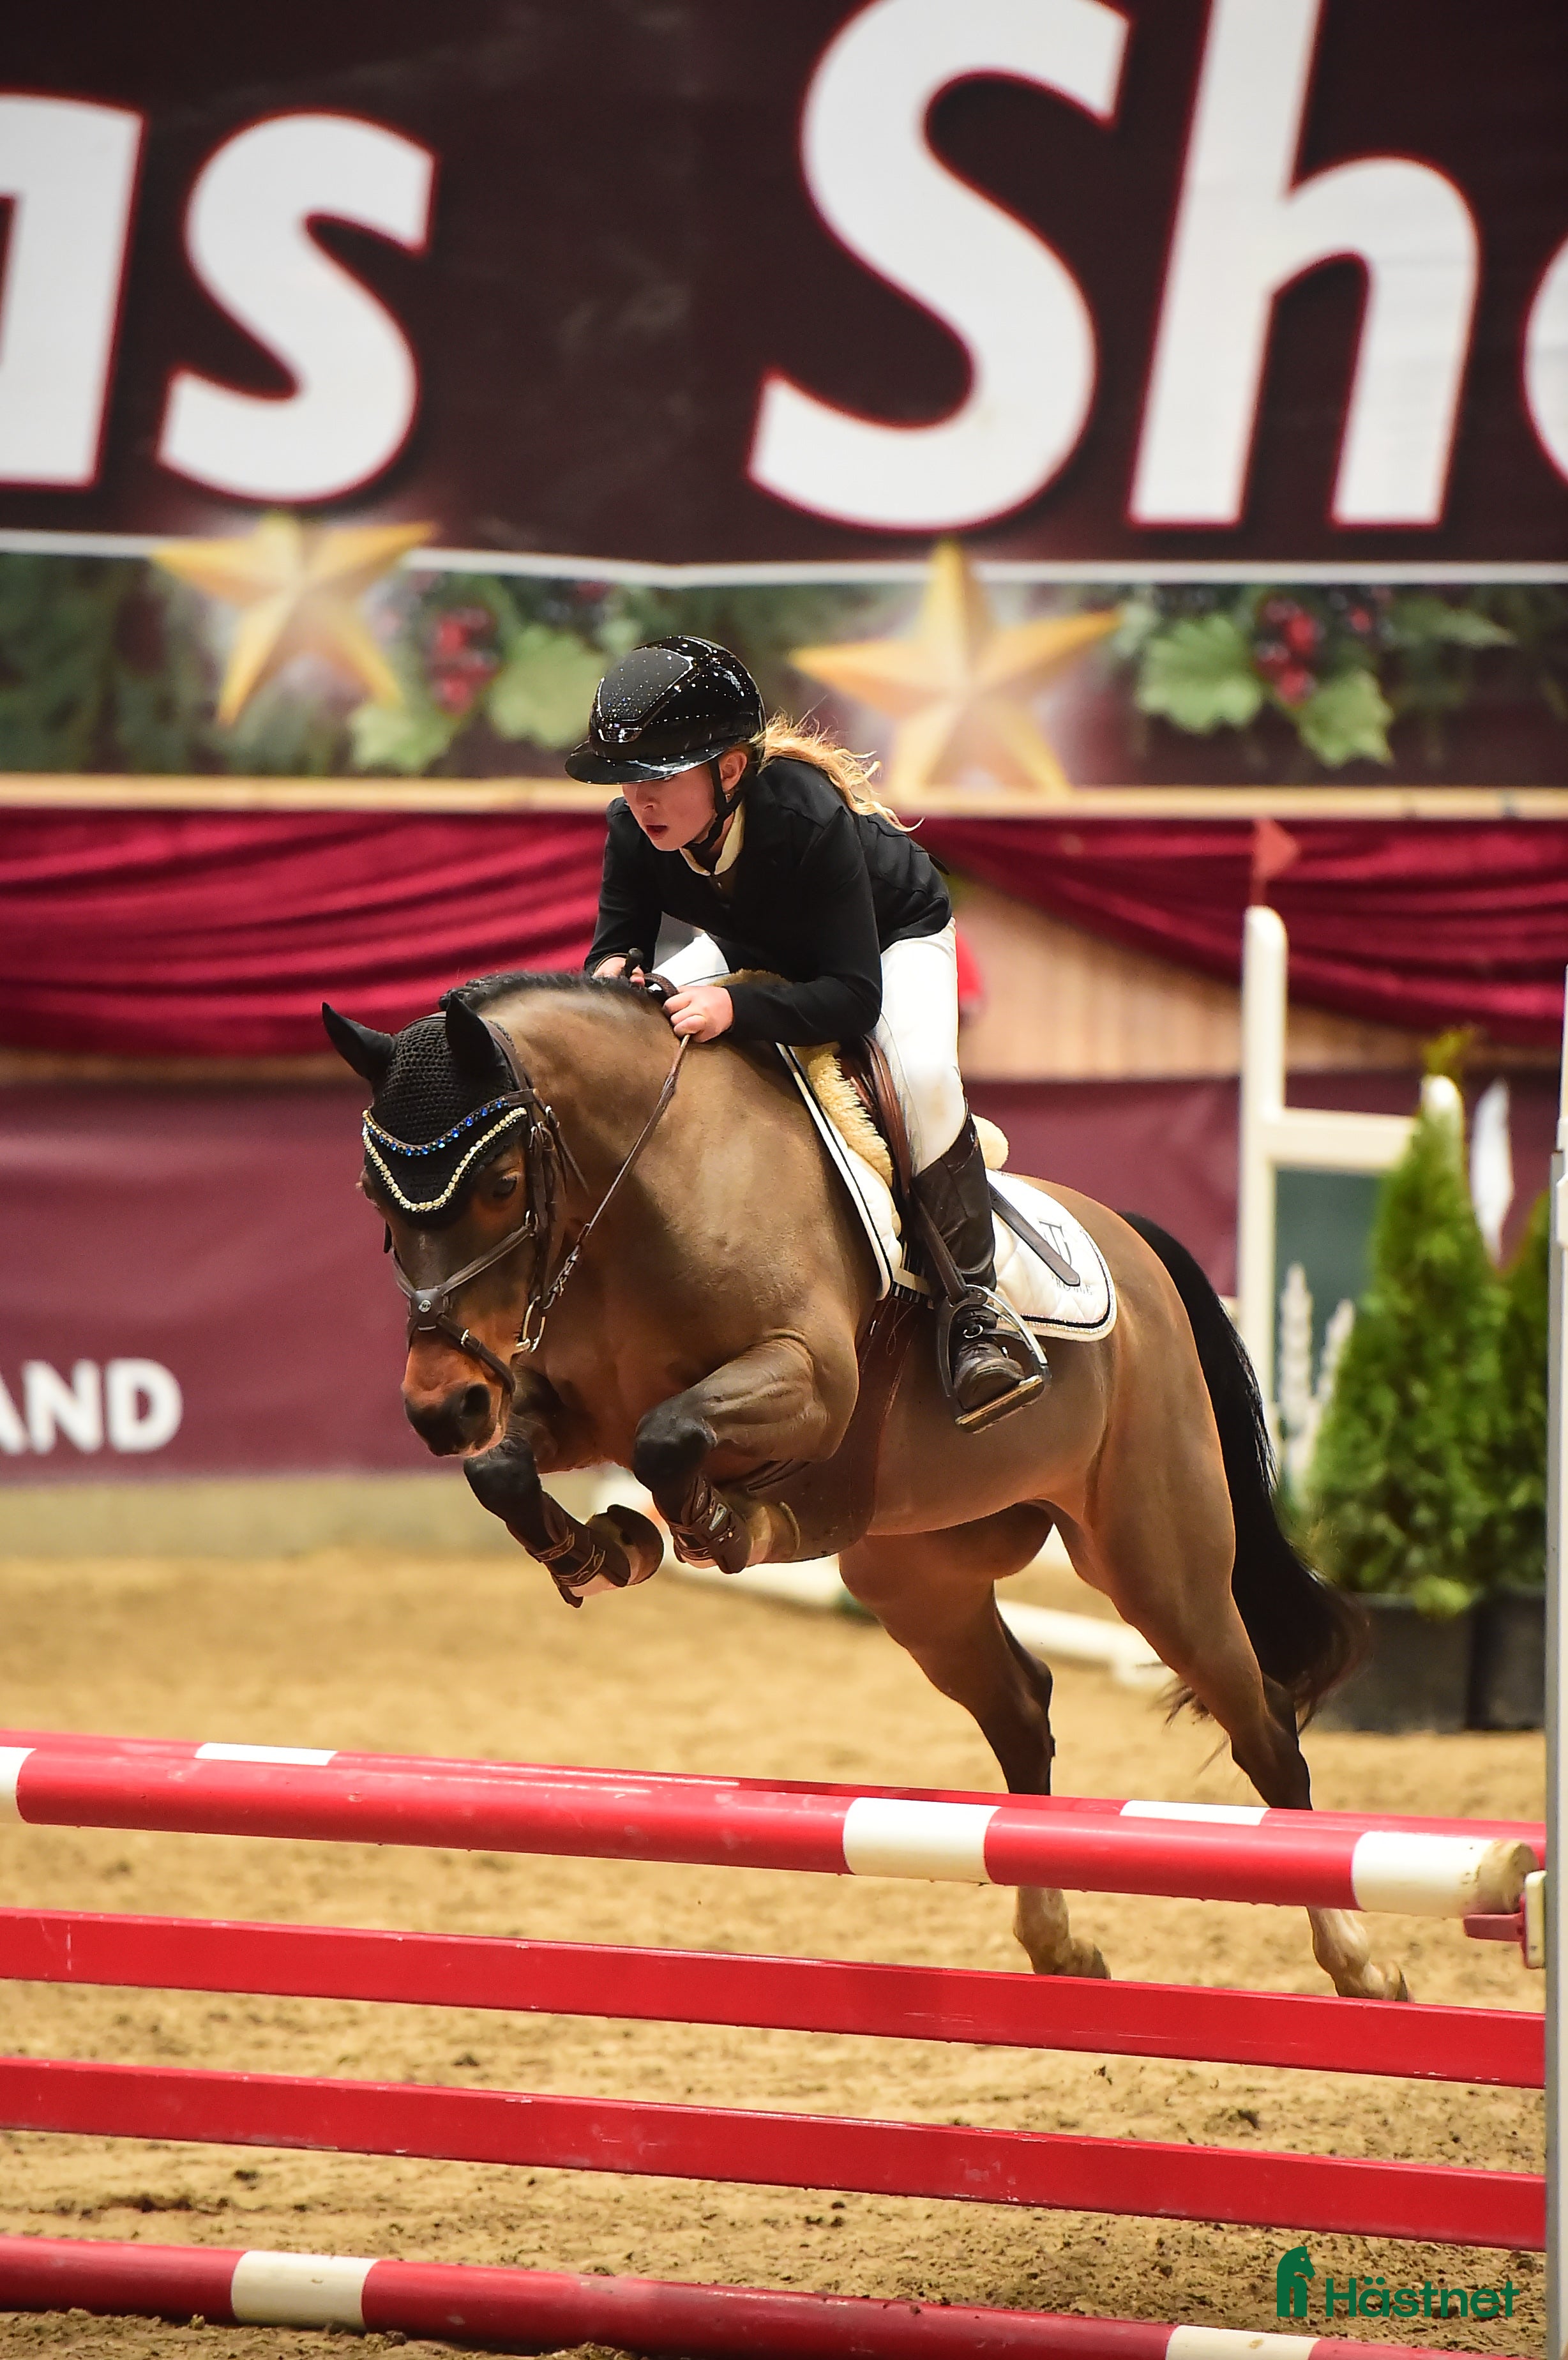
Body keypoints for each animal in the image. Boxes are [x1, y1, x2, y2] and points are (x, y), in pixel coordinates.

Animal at [323, 969, 1403, 2003]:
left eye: (502, 1183)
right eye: (373, 1200)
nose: (441, 1407)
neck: (642, 1195)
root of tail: (1134, 1246)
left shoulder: (808, 1382)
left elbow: (670, 1439)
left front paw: (717, 1527)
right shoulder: (560, 1406)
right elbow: (506, 1468)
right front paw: (604, 1546)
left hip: (1155, 1559)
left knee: (1262, 1722)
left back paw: (1359, 1962)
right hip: (918, 1579)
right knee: (1022, 1708)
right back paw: (1057, 1941)